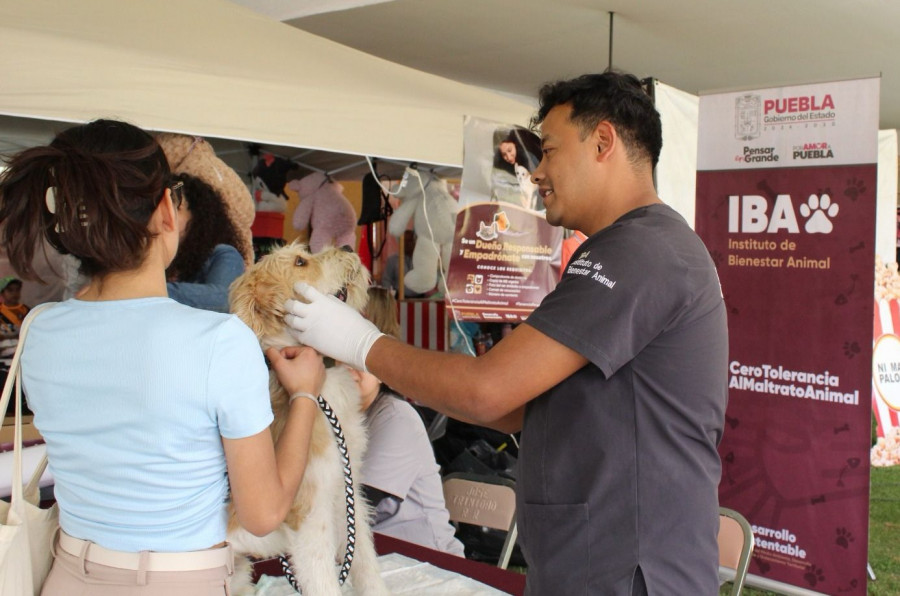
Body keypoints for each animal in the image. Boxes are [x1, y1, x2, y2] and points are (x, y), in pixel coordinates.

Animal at [225, 243, 386, 596]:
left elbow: (365, 561)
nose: (348, 246)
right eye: (300, 262)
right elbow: (324, 581)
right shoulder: (310, 516)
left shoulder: (345, 492)